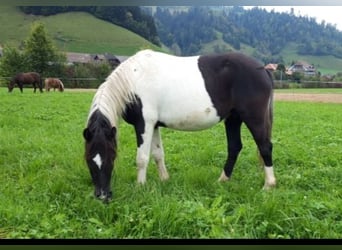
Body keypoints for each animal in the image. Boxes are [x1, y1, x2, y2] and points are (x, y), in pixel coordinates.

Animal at [83, 49, 276, 202]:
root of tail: (263, 69)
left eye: (111, 157)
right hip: (233, 118)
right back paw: (222, 180)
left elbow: (142, 158)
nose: (102, 196)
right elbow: (158, 154)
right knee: (235, 147)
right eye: (88, 160)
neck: (133, 80)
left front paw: (140, 187)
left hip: (253, 117)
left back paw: (269, 185)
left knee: (265, 146)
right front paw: (164, 180)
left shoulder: (144, 124)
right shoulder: (154, 125)